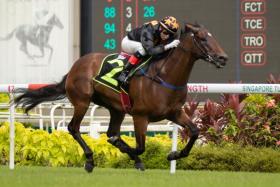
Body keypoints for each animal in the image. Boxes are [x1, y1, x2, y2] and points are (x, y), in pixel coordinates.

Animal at [13, 23, 228, 172]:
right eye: (202, 38)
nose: (223, 58)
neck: (164, 76)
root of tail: (76, 65)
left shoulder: (174, 112)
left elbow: (195, 131)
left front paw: (174, 154)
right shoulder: (140, 116)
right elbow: (140, 147)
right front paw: (133, 155)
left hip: (116, 108)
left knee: (110, 132)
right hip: (82, 101)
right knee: (73, 128)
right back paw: (90, 160)